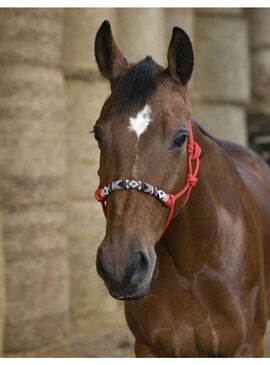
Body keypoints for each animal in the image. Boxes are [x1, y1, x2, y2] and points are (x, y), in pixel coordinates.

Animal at [92, 19, 270, 356]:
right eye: (98, 134)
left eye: (180, 138)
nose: (121, 265)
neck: (193, 267)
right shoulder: (148, 348)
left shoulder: (246, 346)